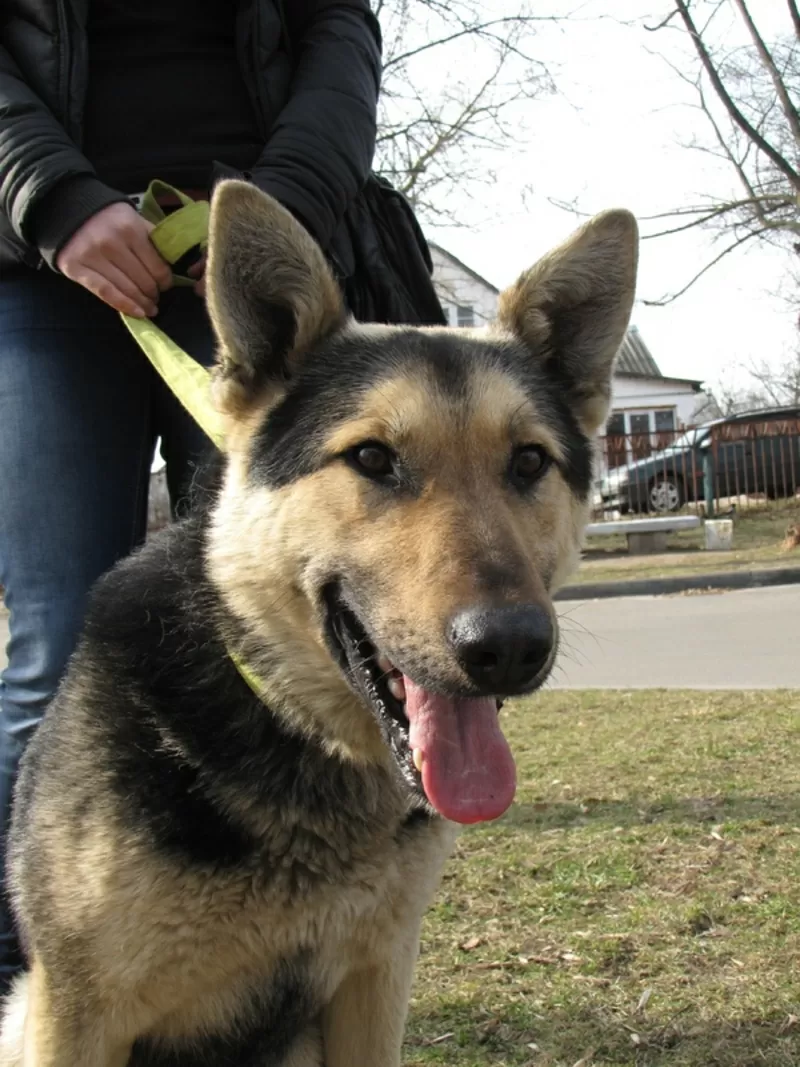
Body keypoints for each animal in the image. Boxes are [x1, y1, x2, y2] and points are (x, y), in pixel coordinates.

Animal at [0, 183, 640, 1067]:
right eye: (371, 458)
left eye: (529, 462)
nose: (510, 646)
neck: (291, 722)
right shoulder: (74, 1012)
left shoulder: (374, 979)